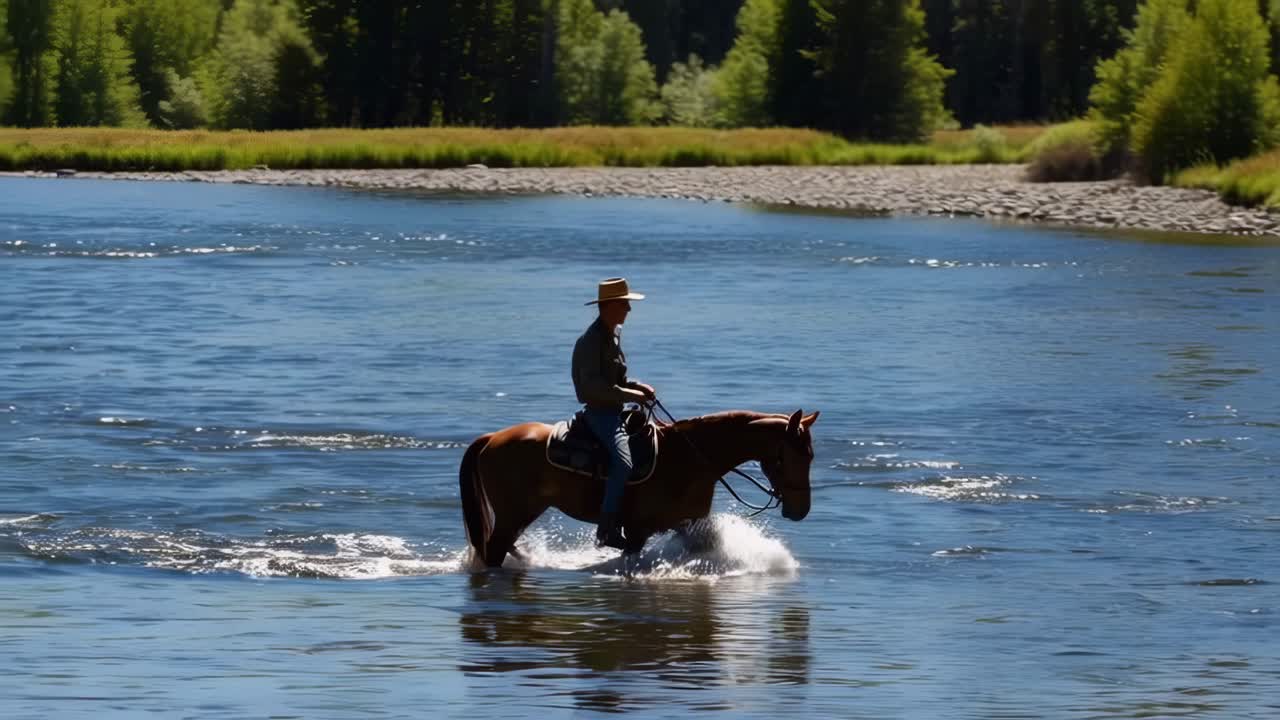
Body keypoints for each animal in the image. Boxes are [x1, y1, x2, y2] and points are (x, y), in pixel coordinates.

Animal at [458, 406, 819, 568]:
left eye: (811, 456)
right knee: (494, 551)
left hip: (522, 513)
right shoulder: (636, 532)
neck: (689, 457)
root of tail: (492, 439)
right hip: (512, 514)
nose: (801, 511)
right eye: (796, 456)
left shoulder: (690, 525)